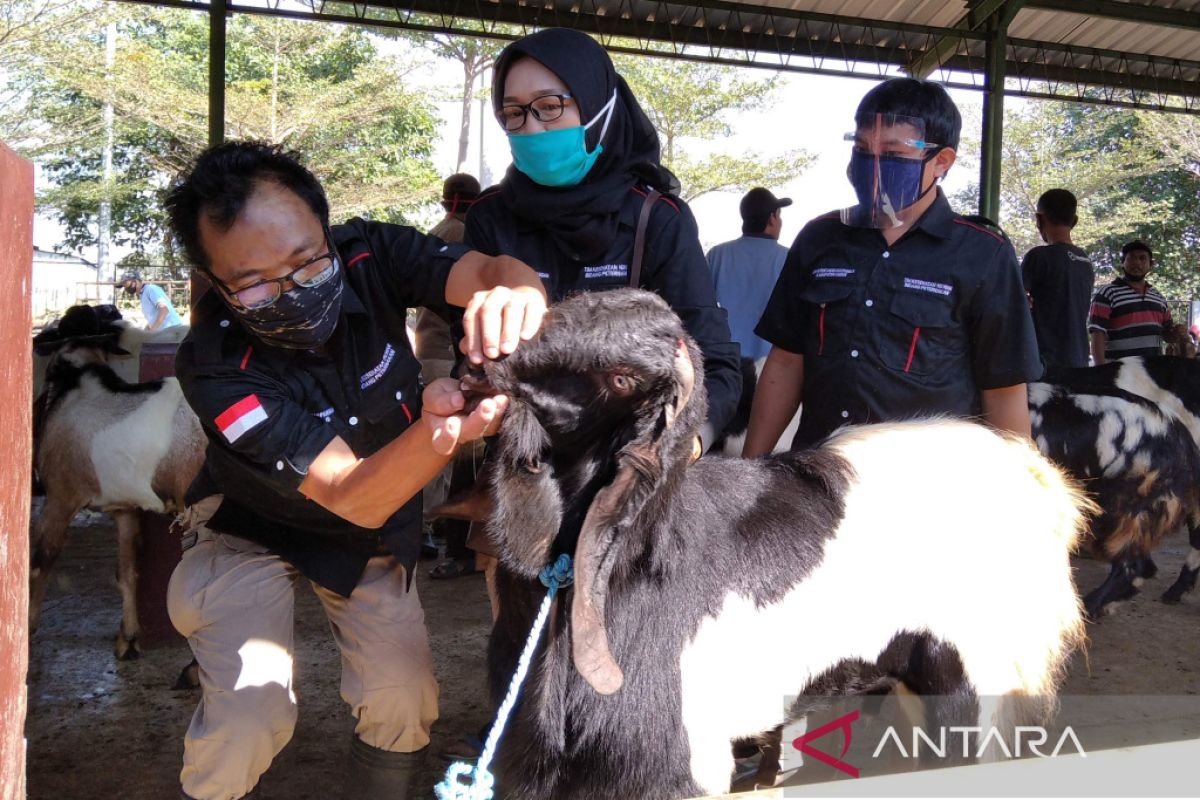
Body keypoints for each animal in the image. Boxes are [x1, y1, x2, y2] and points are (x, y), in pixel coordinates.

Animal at [31, 304, 204, 657]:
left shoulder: (60, 496)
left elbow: (41, 559)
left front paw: (26, 629)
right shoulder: (125, 508)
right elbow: (127, 570)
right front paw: (129, 637)